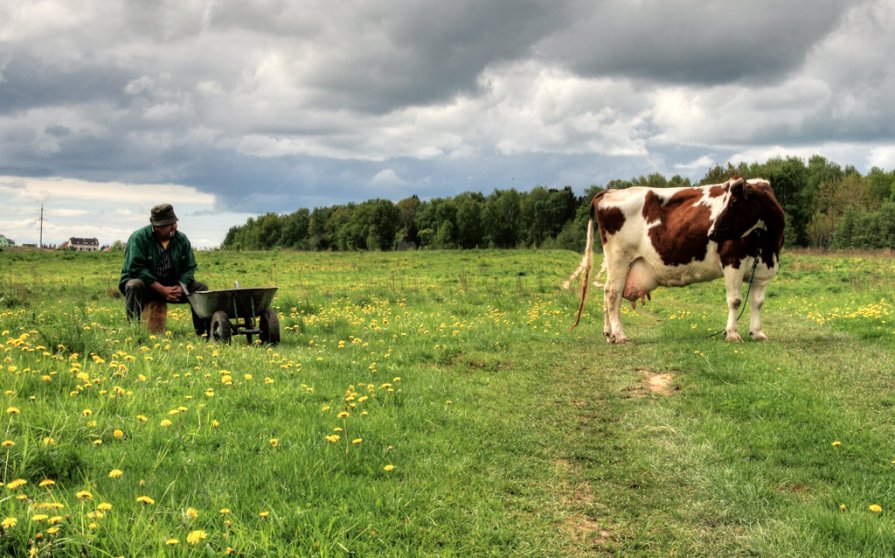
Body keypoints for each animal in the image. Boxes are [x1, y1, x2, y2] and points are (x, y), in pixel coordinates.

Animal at [576, 179, 784, 346]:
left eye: (733, 203)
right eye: (726, 201)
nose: (712, 232)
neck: (764, 243)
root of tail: (610, 192)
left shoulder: (763, 270)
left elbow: (757, 302)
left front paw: (757, 333)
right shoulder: (733, 262)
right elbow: (735, 301)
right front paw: (732, 334)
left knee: (606, 292)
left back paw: (609, 334)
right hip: (619, 257)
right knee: (613, 294)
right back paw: (619, 335)